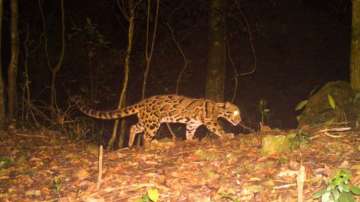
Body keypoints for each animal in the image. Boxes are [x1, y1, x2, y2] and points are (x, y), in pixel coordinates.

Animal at [71, 94, 240, 147]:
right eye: (235, 113)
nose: (239, 121)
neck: (218, 108)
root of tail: (143, 102)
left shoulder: (192, 123)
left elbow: (189, 132)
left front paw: (190, 140)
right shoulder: (210, 121)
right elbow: (219, 128)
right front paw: (228, 135)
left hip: (146, 121)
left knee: (133, 127)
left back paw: (130, 144)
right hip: (153, 123)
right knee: (146, 137)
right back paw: (152, 144)